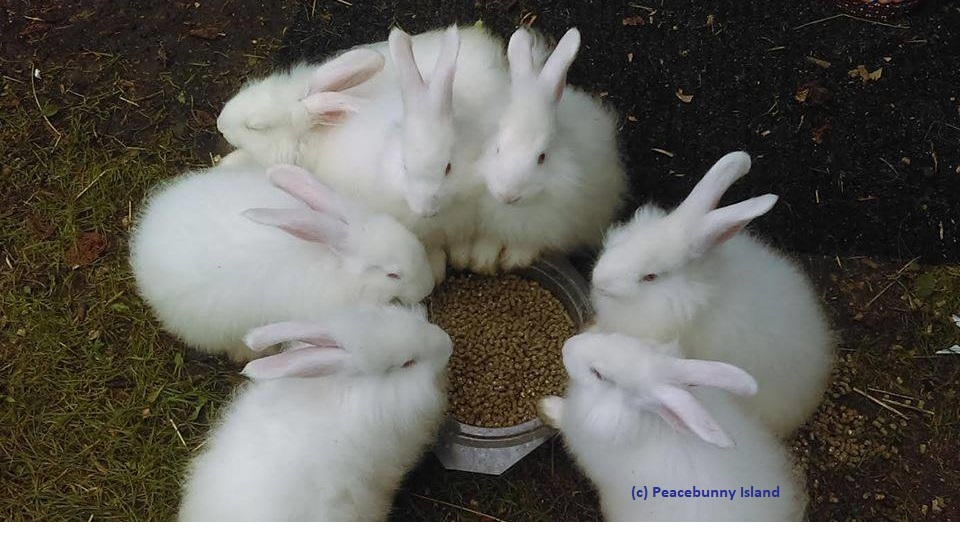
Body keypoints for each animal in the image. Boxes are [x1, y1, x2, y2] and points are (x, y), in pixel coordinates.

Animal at [468, 27, 627, 273]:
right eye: (497, 149)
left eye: (542, 157)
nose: (507, 195)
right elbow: (489, 239)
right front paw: (481, 261)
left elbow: (529, 244)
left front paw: (515, 260)